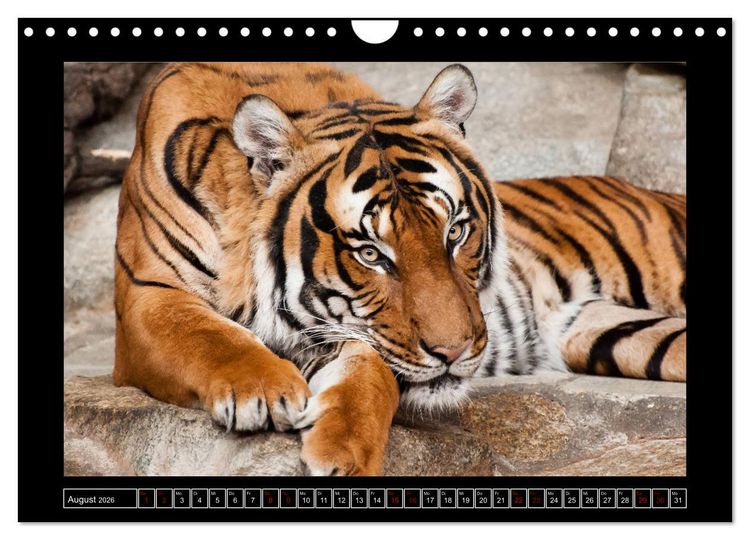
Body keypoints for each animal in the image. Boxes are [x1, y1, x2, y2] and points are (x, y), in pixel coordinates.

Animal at [113, 62, 686, 476]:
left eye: (454, 233)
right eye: (371, 254)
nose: (454, 353)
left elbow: (371, 373)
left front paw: (344, 452)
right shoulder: (146, 295)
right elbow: (202, 333)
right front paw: (263, 389)